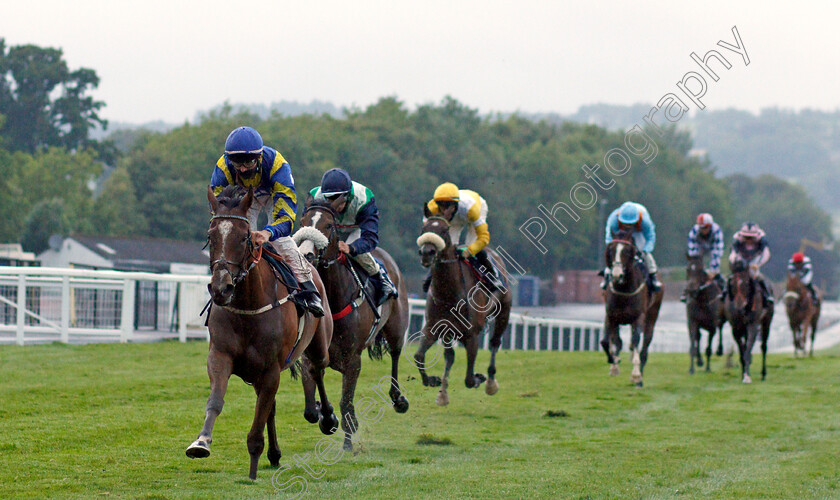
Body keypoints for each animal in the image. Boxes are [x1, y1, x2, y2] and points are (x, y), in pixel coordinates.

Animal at [187, 187, 338, 480]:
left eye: (244, 237)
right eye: (211, 236)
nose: (221, 288)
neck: (248, 307)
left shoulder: (270, 368)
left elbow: (258, 423)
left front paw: (253, 470)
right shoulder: (221, 356)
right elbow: (217, 401)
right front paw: (201, 442)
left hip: (318, 345)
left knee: (316, 369)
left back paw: (326, 417)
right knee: (271, 405)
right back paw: (275, 453)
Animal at [294, 197, 412, 452]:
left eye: (329, 225)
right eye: (303, 221)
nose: (305, 254)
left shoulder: (352, 360)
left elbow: (345, 402)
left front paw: (348, 441)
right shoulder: (310, 356)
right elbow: (310, 409)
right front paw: (323, 414)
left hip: (397, 327)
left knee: (396, 355)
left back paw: (398, 399)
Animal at [414, 207, 512, 406]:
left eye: (444, 230)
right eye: (423, 228)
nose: (427, 252)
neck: (449, 292)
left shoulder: (471, 334)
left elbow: (468, 379)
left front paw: (478, 378)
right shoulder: (434, 327)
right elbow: (419, 356)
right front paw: (433, 381)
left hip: (504, 311)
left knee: (495, 343)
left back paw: (491, 383)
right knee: (449, 356)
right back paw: (443, 391)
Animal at [604, 229, 664, 388]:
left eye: (626, 251)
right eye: (611, 250)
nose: (616, 274)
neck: (624, 289)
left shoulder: (638, 317)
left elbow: (636, 341)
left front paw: (636, 375)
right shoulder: (612, 316)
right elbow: (611, 341)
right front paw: (614, 365)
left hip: (652, 315)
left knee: (644, 347)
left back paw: (640, 379)